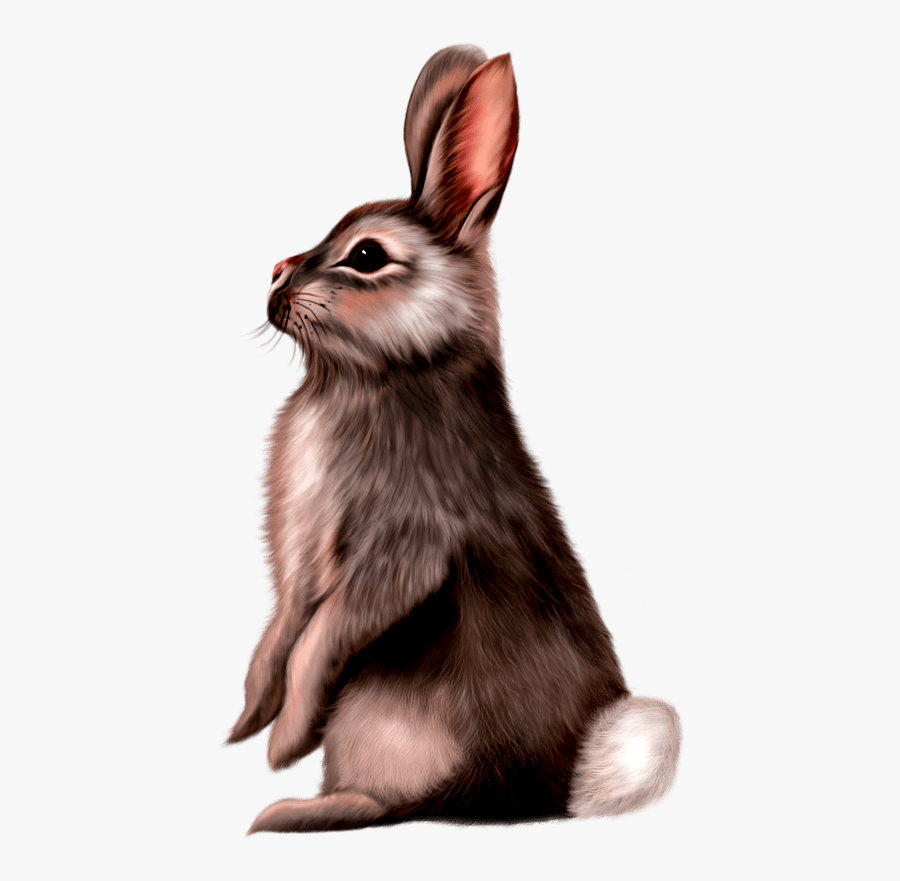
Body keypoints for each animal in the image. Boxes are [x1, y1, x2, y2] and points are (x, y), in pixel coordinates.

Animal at [228, 44, 681, 833]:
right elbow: (283, 630)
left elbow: (321, 638)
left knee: (411, 804)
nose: (276, 280)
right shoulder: (299, 564)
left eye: (366, 255)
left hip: (388, 722)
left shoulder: (404, 544)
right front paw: (247, 719)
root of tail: (553, 793)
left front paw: (282, 744)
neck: (376, 374)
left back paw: (291, 808)